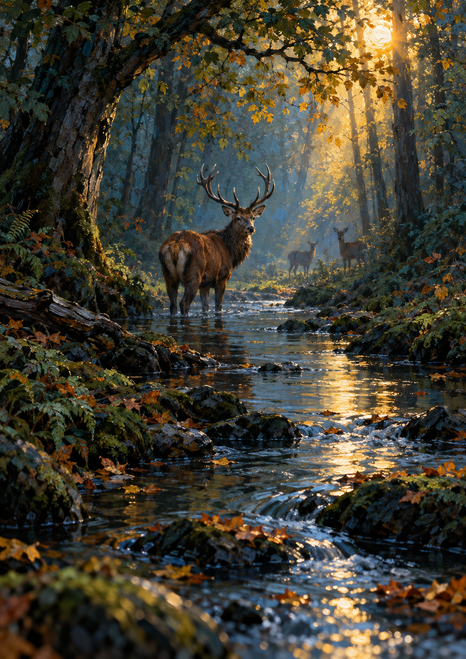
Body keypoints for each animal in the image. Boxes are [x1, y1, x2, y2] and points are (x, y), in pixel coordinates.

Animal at [159, 164, 275, 316]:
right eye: (238, 218)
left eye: (253, 217)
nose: (251, 228)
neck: (231, 253)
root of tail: (176, 245)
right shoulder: (222, 277)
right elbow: (218, 306)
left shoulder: (205, 284)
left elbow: (205, 307)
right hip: (193, 274)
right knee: (184, 303)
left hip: (168, 276)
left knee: (172, 305)